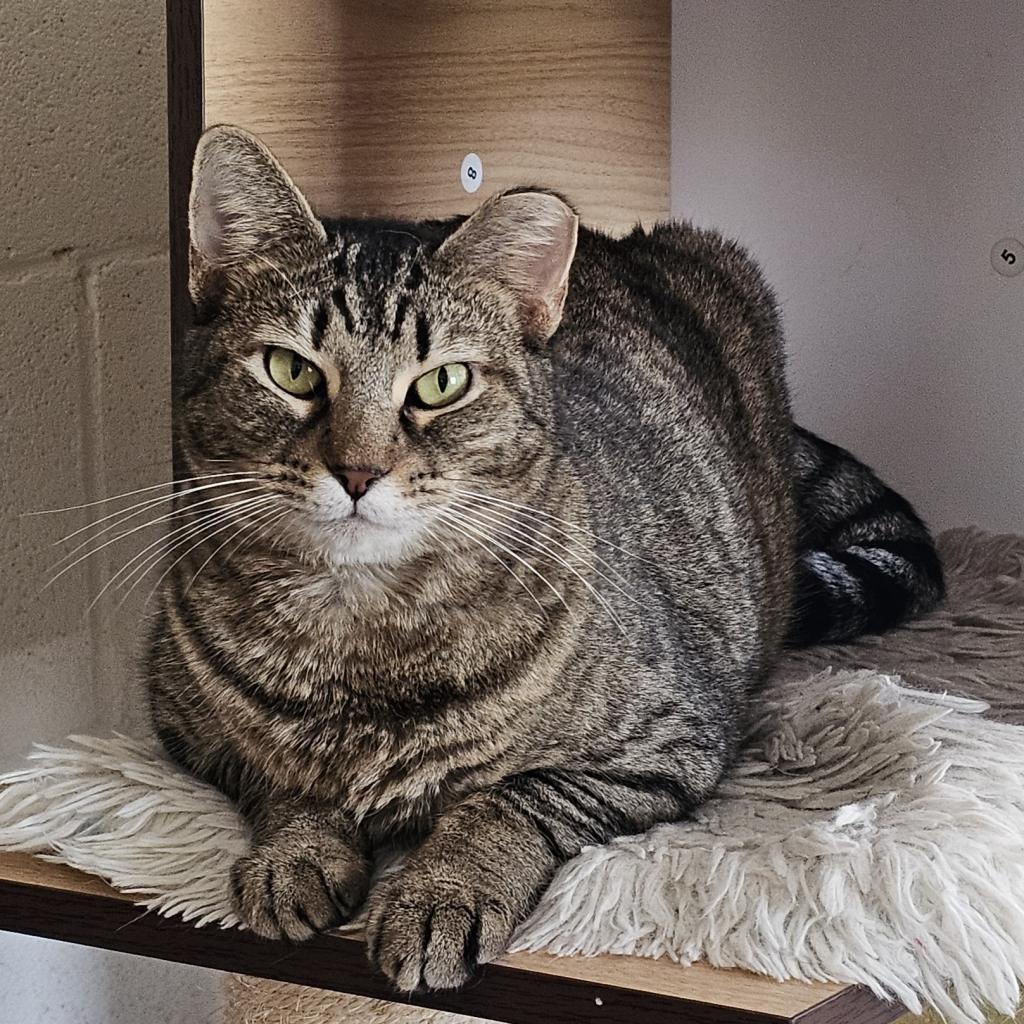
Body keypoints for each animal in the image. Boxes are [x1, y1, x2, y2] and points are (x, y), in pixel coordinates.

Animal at [144, 123, 942, 987]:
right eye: (291, 370)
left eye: (442, 383)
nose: (357, 470)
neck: (360, 639)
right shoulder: (183, 726)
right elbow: (281, 782)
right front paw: (295, 854)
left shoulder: (667, 745)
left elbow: (507, 802)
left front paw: (441, 894)